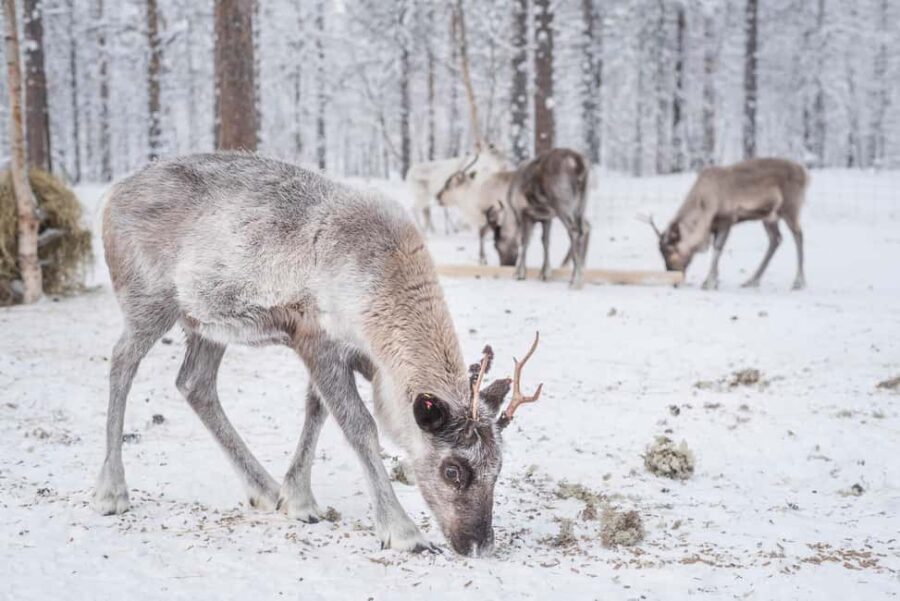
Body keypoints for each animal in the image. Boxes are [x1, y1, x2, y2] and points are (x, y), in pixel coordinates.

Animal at [92, 153, 544, 557]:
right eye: (453, 470)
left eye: (498, 468)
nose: (479, 546)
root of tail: (112, 194)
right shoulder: (315, 339)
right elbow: (359, 425)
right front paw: (402, 532)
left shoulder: (350, 354)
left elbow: (317, 412)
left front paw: (296, 498)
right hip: (150, 300)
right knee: (121, 362)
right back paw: (111, 490)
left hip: (206, 322)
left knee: (194, 383)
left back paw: (264, 488)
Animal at [641, 157, 808, 290]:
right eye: (662, 252)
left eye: (671, 250)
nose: (674, 281)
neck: (705, 205)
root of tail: (806, 175)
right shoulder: (714, 226)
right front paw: (714, 280)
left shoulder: (726, 220)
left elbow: (717, 250)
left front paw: (709, 282)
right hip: (769, 217)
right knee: (776, 239)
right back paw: (752, 281)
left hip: (790, 208)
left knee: (798, 235)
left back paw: (798, 282)